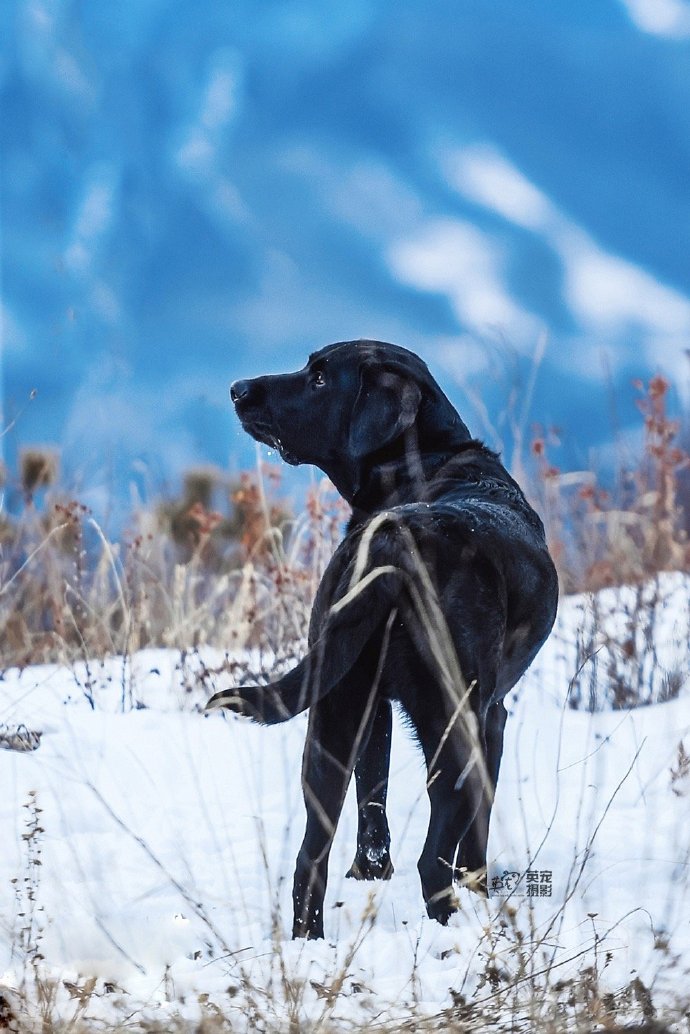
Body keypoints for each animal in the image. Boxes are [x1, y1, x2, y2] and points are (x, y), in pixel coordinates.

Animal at [207, 339, 558, 938]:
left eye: (319, 378)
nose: (237, 389)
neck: (428, 464)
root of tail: (395, 538)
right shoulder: (494, 717)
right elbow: (478, 830)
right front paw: (481, 889)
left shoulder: (373, 709)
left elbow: (373, 797)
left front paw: (370, 873)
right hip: (455, 724)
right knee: (433, 858)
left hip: (331, 711)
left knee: (311, 856)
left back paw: (310, 942)